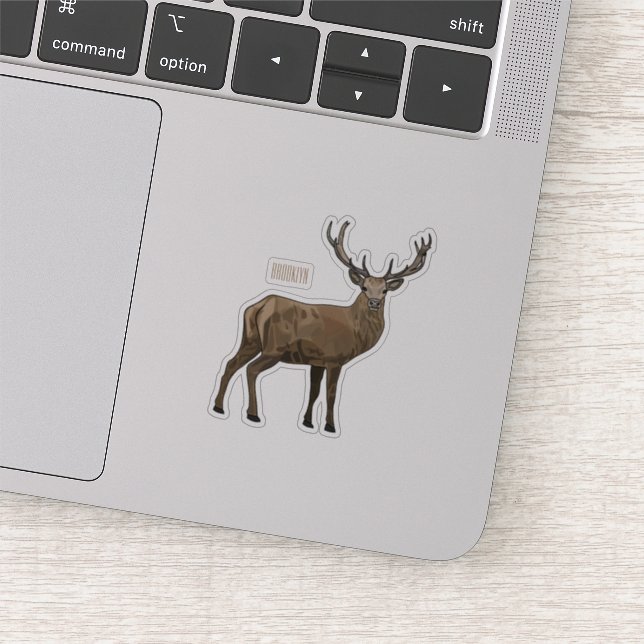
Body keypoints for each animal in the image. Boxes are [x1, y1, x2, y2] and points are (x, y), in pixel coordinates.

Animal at [211, 218, 434, 435]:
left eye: (385, 290)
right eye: (364, 287)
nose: (374, 303)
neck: (355, 330)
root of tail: (259, 306)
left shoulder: (316, 360)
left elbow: (313, 391)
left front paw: (307, 422)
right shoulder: (335, 358)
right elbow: (331, 394)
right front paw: (330, 426)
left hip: (250, 339)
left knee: (231, 363)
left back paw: (218, 407)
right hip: (274, 347)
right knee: (251, 369)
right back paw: (253, 414)